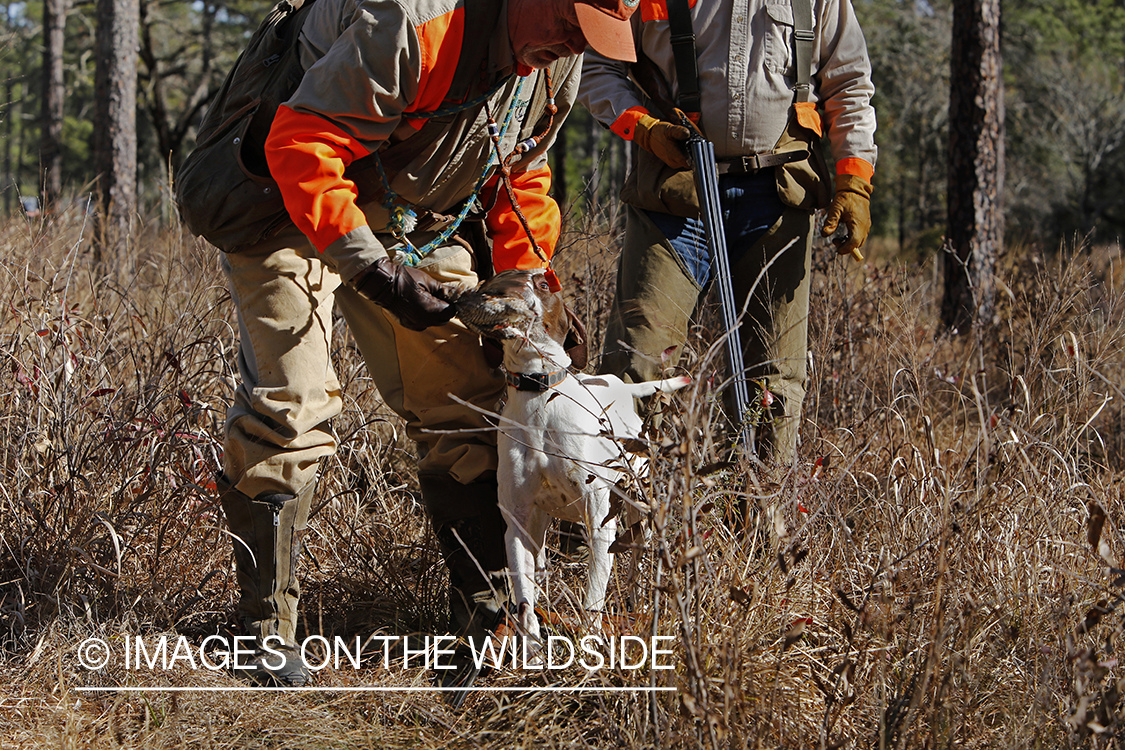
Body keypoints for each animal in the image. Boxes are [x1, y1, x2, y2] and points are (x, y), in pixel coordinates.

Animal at [454, 269, 684, 647]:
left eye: (544, 284)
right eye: (493, 280)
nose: (477, 296)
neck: (539, 397)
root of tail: (619, 385)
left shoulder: (600, 521)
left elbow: (593, 597)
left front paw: (589, 643)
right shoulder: (518, 523)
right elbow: (525, 599)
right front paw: (531, 646)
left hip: (639, 505)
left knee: (638, 556)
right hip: (542, 522)